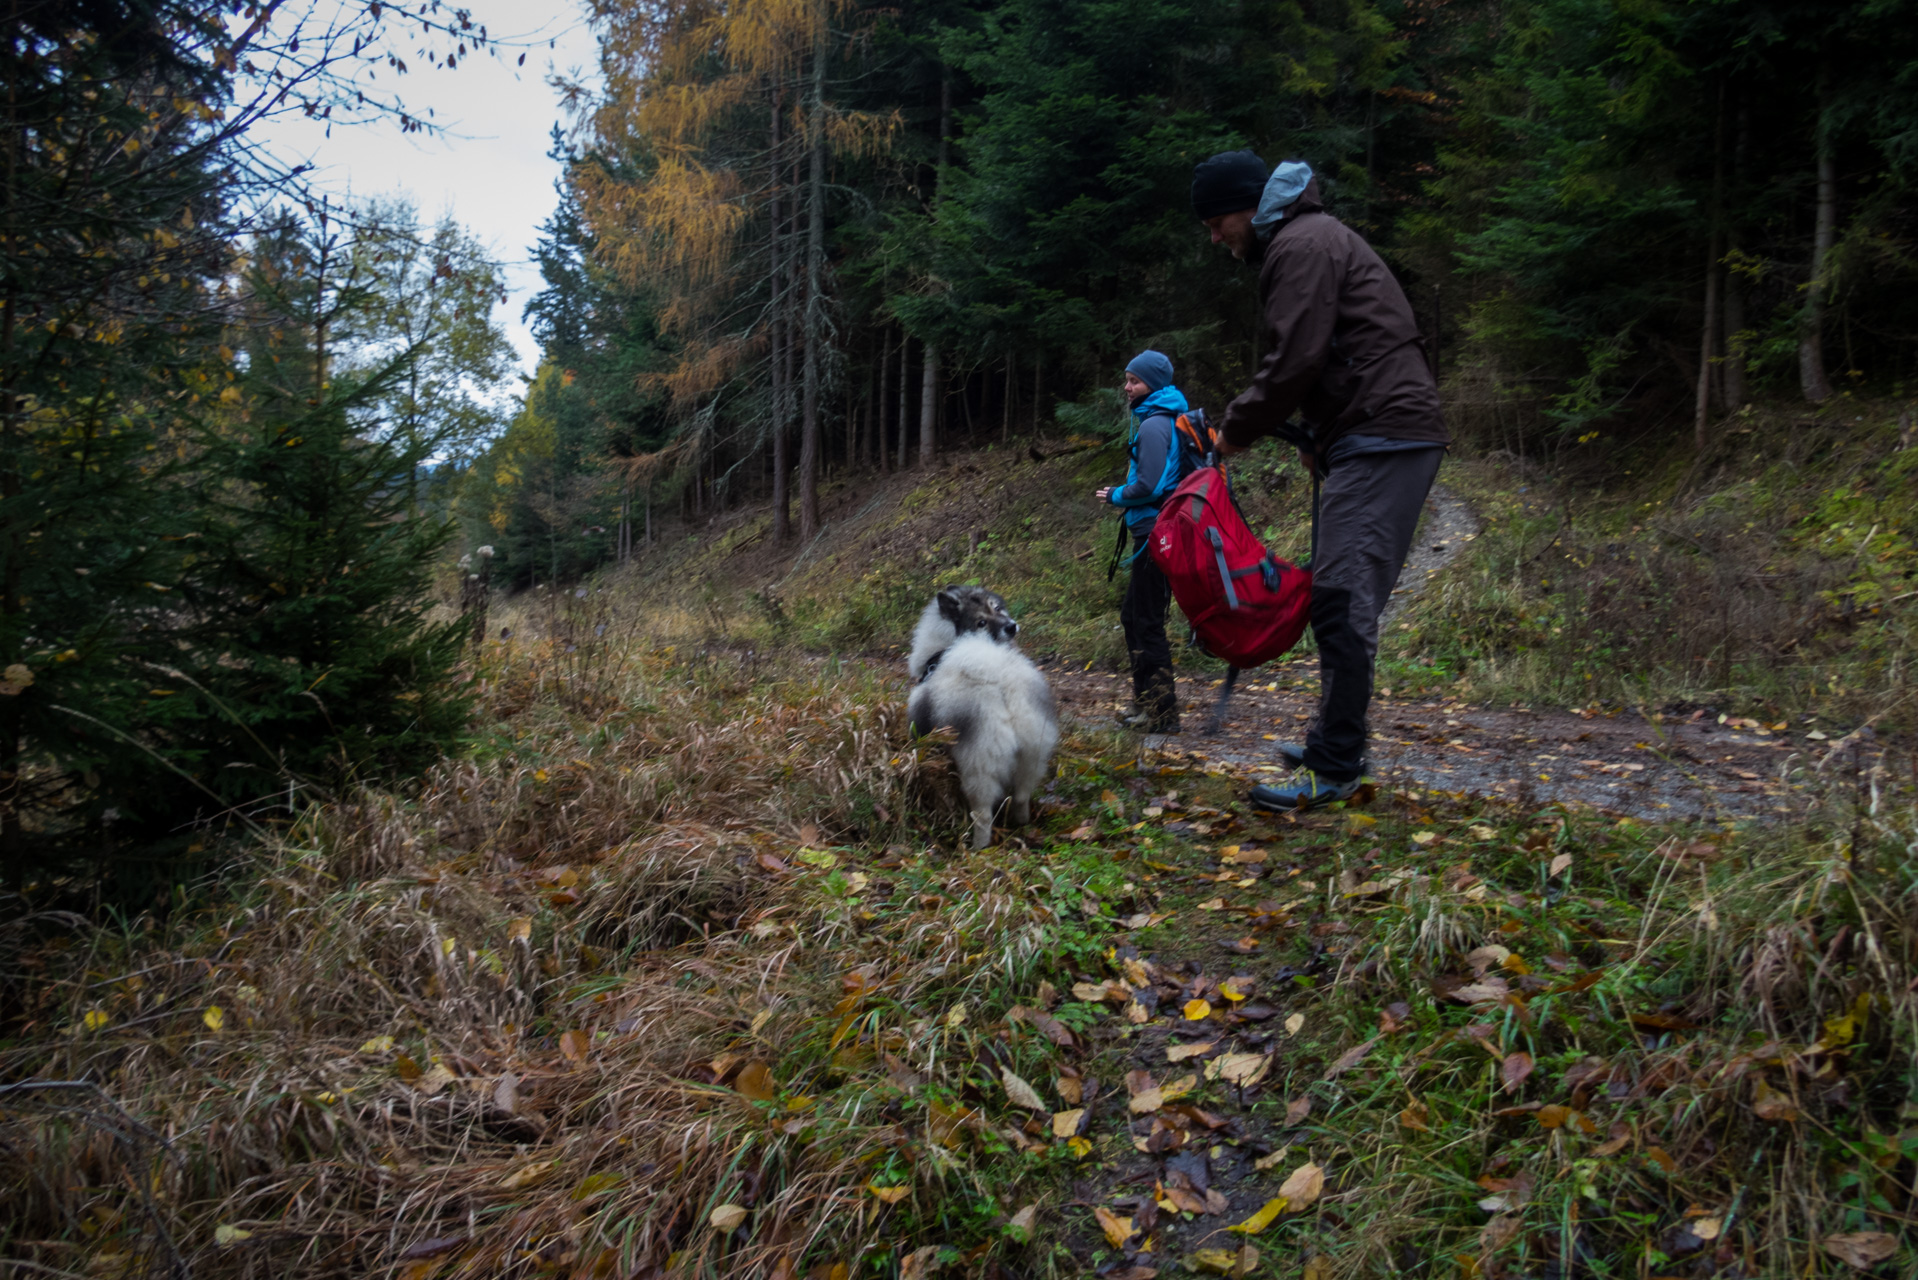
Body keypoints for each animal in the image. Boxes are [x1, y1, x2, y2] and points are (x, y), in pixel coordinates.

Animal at [905, 587, 1058, 852]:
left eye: (996, 608)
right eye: (981, 622)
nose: (1011, 626)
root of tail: (1002, 684)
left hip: (977, 767)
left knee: (983, 815)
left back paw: (977, 846)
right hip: (1032, 754)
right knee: (1021, 796)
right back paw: (1020, 822)